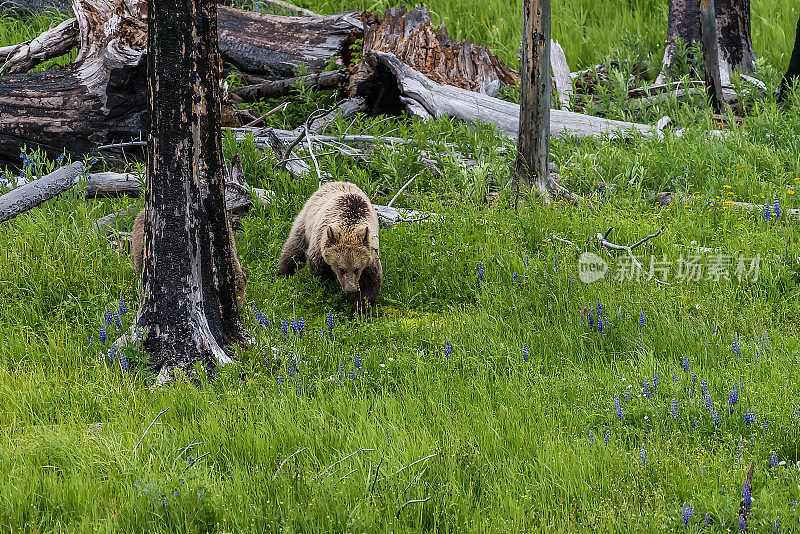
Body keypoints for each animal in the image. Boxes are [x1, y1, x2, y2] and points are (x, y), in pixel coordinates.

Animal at [280, 183, 382, 314]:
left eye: (357, 269)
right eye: (341, 269)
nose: (350, 290)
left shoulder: (371, 256)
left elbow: (371, 283)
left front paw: (357, 310)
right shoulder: (319, 246)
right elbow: (319, 272)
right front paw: (328, 293)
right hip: (306, 219)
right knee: (294, 247)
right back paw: (283, 273)